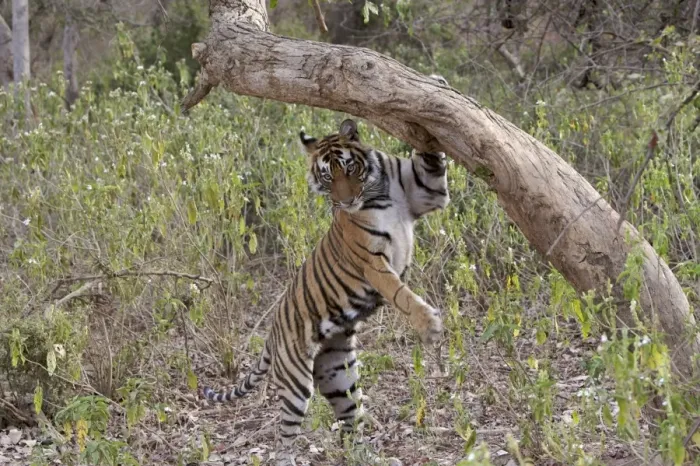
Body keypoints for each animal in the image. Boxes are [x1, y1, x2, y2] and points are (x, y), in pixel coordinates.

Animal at [202, 118, 450, 465]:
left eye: (349, 168)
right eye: (327, 176)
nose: (345, 202)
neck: (378, 191)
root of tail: (271, 335)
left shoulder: (427, 191)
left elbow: (431, 158)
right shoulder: (372, 261)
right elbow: (400, 293)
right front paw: (429, 325)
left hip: (338, 374)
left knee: (349, 422)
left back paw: (366, 457)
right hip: (296, 383)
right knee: (284, 438)